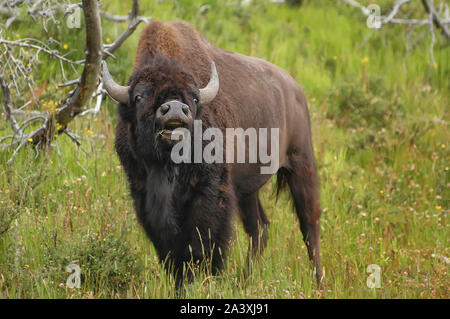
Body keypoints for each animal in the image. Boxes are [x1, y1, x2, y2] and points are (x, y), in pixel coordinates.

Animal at [101, 20, 322, 290]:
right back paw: (244, 280)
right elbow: (168, 247)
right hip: (248, 190)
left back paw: (319, 282)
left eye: (194, 98)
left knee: (309, 225)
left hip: (301, 164)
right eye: (139, 97)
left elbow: (200, 242)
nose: (175, 109)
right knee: (259, 229)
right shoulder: (143, 195)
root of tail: (294, 89)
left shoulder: (210, 191)